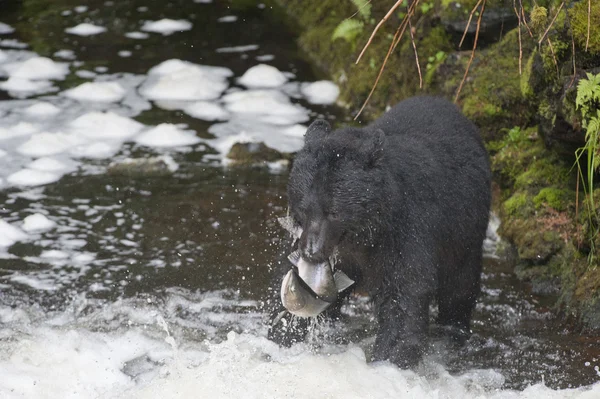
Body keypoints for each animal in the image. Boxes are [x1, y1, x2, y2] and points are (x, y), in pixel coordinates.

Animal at [268, 96, 492, 368]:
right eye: (303, 208)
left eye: (334, 212)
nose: (312, 252)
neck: (361, 236)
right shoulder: (307, 237)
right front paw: (283, 334)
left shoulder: (407, 230)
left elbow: (403, 293)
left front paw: (390, 358)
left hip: (465, 233)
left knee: (460, 287)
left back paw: (454, 328)